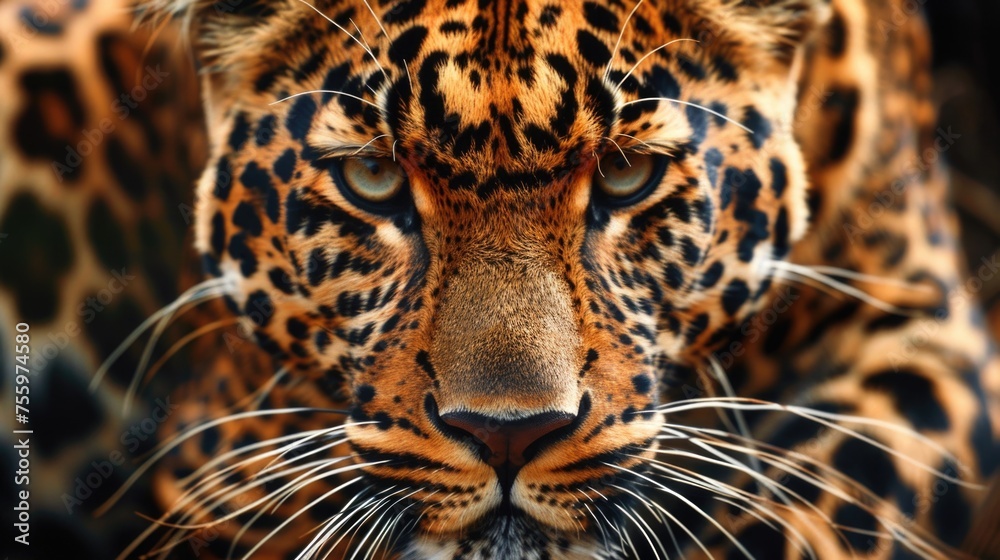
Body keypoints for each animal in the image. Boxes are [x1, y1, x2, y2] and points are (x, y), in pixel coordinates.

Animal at [1, 0, 999, 559]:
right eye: (374, 178)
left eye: (628, 175)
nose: (507, 436)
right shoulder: (228, 442)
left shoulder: (916, 324)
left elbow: (804, 518)